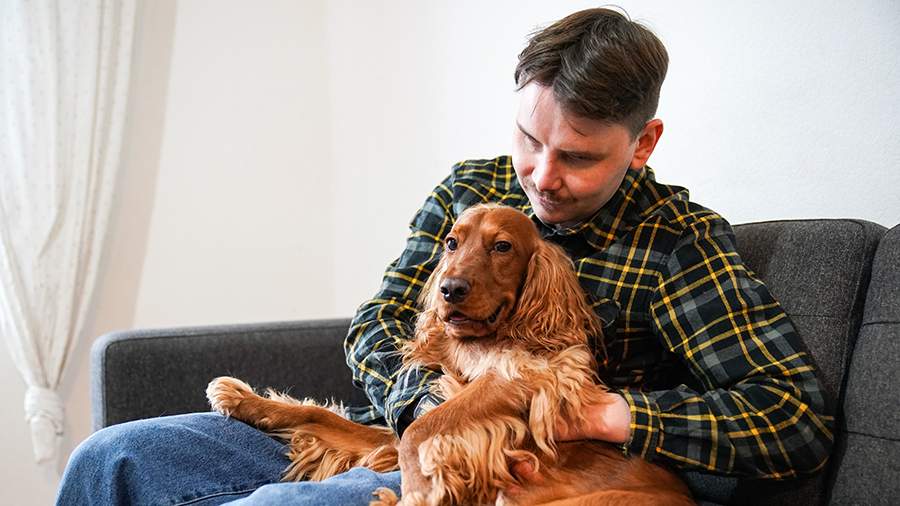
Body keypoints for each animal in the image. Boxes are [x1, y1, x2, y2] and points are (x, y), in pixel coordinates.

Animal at [207, 204, 693, 505]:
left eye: (502, 247)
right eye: (452, 243)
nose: (450, 289)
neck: (483, 339)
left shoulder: (523, 379)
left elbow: (420, 433)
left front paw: (420, 493)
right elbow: (326, 418)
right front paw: (244, 400)